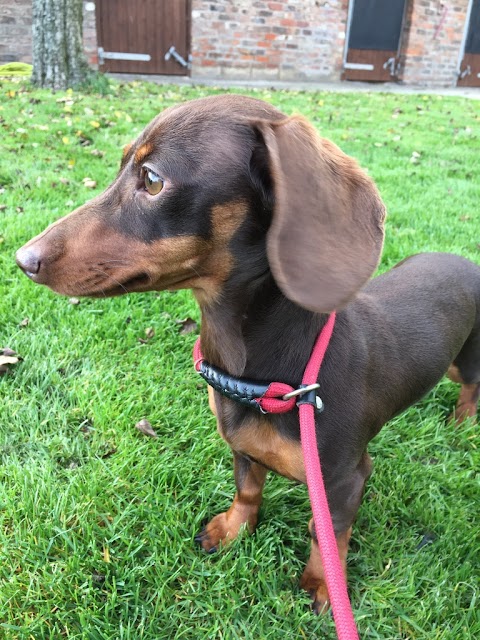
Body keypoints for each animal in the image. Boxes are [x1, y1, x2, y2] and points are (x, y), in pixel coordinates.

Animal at [15, 94, 480, 608]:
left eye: (152, 179)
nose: (22, 259)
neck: (276, 379)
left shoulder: (344, 479)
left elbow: (328, 535)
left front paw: (323, 583)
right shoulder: (242, 449)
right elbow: (248, 491)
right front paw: (232, 530)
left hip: (465, 360)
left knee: (471, 387)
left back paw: (463, 422)